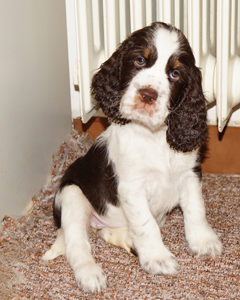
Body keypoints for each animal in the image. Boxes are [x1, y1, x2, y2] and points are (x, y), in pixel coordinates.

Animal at [42, 22, 221, 292]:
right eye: (140, 60)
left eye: (175, 74)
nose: (147, 95)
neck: (153, 136)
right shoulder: (132, 187)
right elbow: (146, 225)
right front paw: (157, 258)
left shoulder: (189, 173)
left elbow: (195, 209)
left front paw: (203, 241)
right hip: (72, 195)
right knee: (77, 243)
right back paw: (90, 274)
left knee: (105, 232)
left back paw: (129, 241)